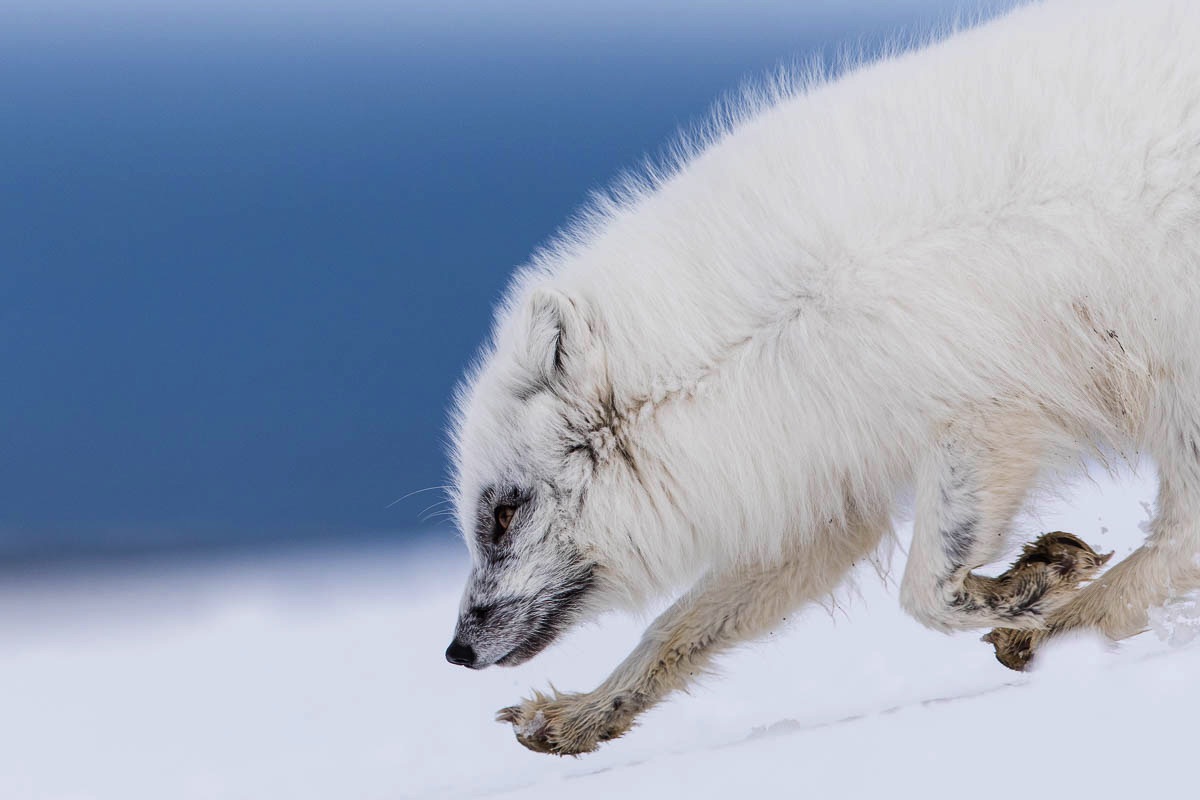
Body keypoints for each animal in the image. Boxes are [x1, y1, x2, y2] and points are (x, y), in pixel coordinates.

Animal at [441, 0, 1200, 753]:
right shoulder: (822, 484)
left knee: (1177, 535)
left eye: (503, 515)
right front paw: (581, 716)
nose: (456, 651)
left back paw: (1061, 622)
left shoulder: (981, 417)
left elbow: (925, 591)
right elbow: (680, 624)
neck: (765, 327)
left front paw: (1036, 585)